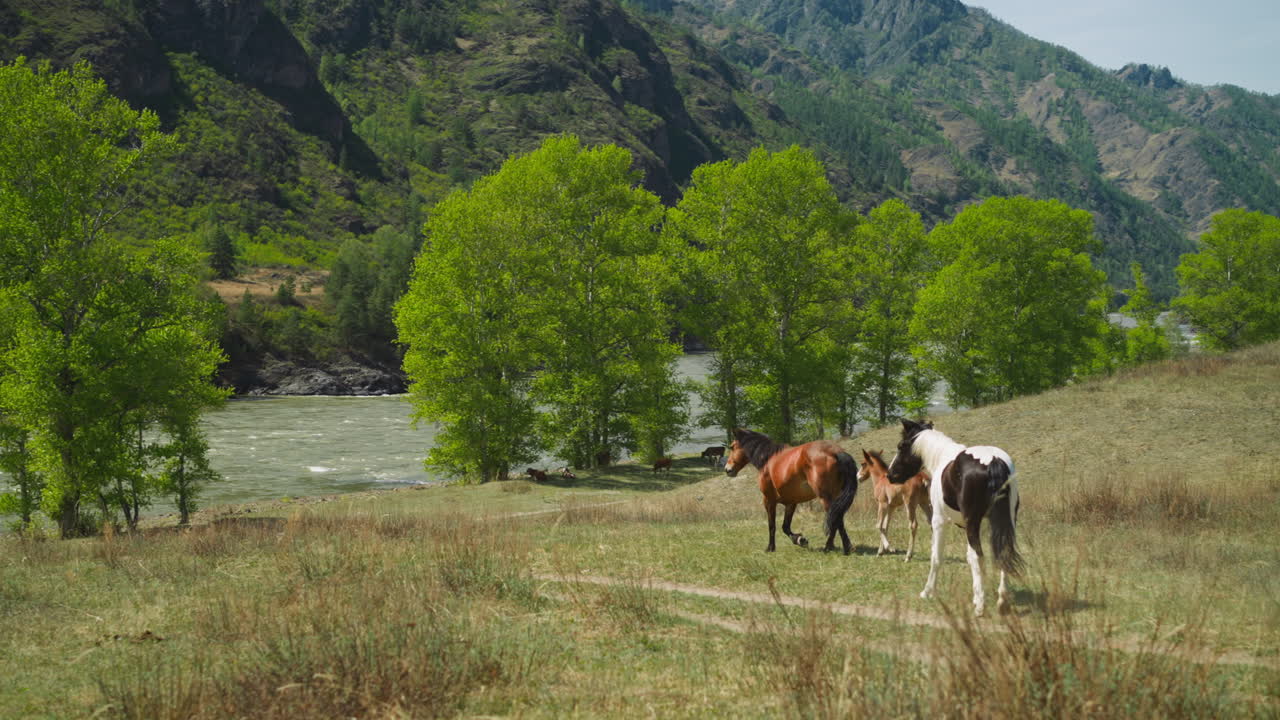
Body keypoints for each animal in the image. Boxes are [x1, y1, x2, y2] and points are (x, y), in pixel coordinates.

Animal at [724, 428, 859, 554]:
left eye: (732, 447)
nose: (727, 469)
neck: (768, 460)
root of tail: (835, 452)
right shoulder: (791, 503)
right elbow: (785, 526)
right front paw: (800, 540)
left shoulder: (769, 501)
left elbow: (772, 526)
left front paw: (770, 548)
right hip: (835, 497)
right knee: (837, 519)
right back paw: (839, 547)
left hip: (825, 498)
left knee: (836, 519)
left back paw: (835, 547)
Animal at [886, 419, 1023, 616]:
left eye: (901, 446)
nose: (890, 475)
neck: (942, 457)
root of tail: (992, 461)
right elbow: (969, 557)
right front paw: (976, 595)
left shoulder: (938, 521)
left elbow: (937, 556)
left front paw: (927, 591)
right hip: (1007, 520)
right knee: (1003, 552)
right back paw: (1002, 600)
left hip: (973, 522)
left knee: (979, 556)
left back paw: (981, 607)